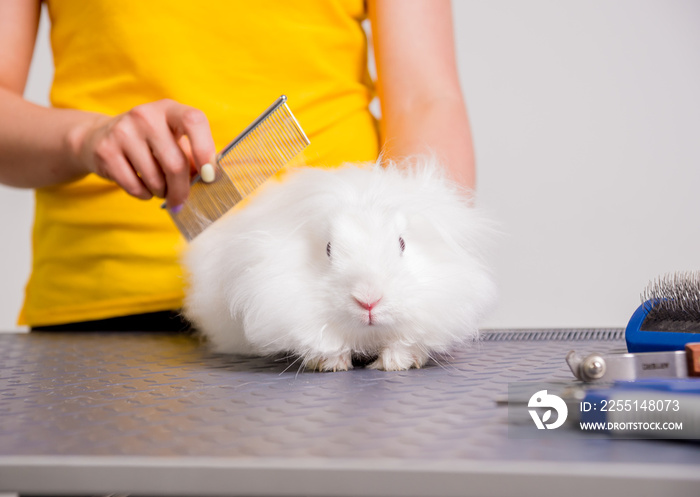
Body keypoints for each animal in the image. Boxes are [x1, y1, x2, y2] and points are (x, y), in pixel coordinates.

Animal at [183, 157, 494, 370]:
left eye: (402, 243)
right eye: (329, 249)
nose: (368, 300)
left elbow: (405, 341)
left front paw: (396, 363)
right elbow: (323, 342)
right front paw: (333, 364)